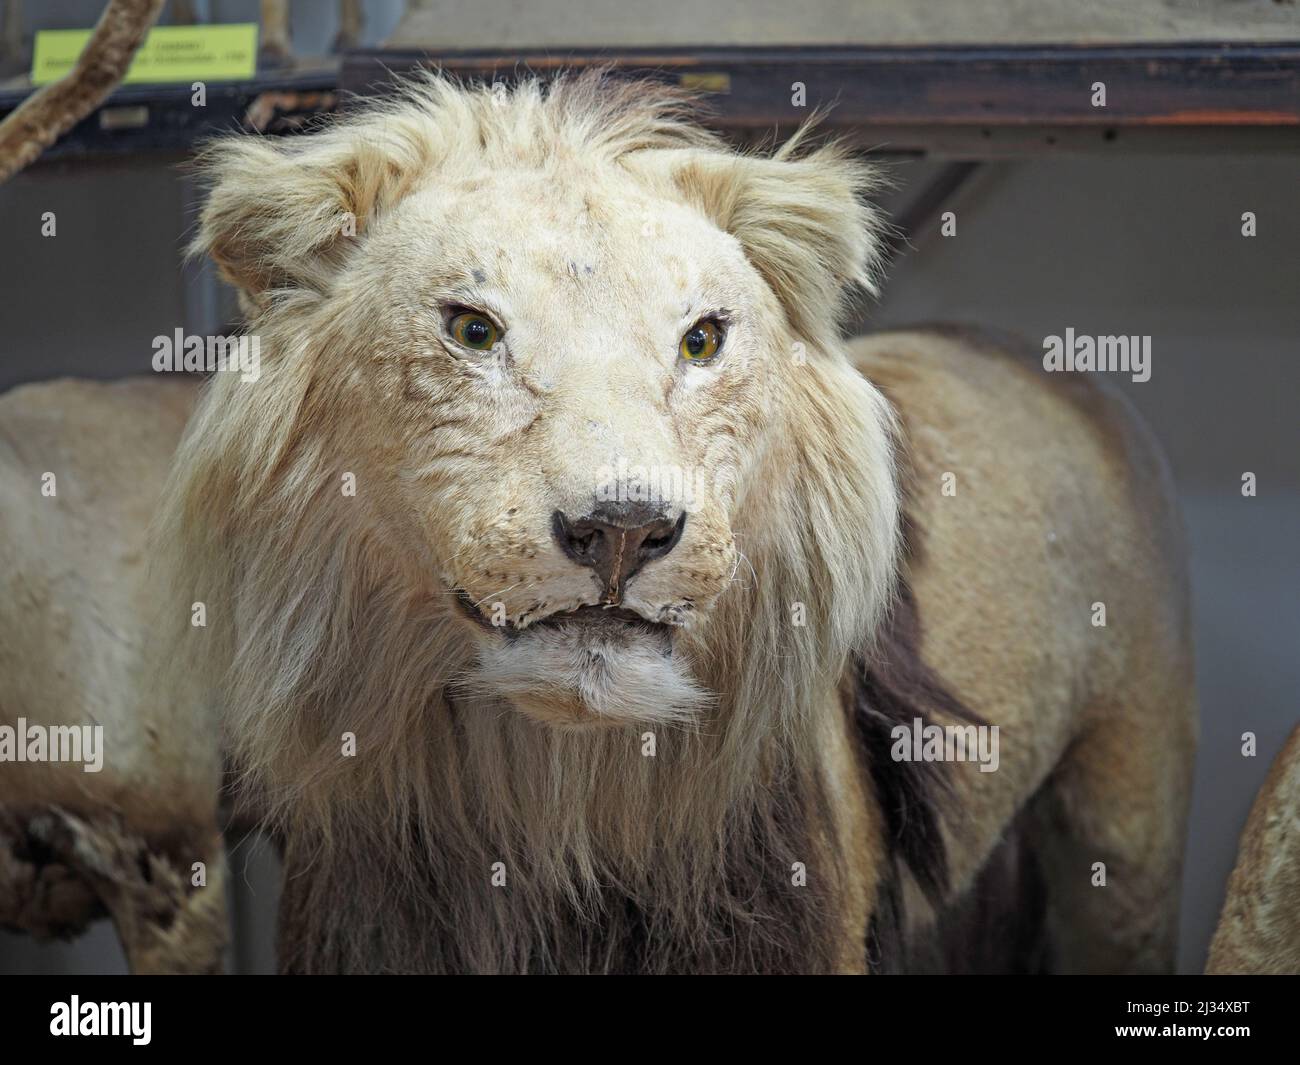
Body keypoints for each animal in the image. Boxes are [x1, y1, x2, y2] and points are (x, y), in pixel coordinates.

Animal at [1, 72, 1197, 973]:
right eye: (472, 329)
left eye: (702, 340)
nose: (623, 529)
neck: (558, 809)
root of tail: (1028, 349)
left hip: (1127, 826)